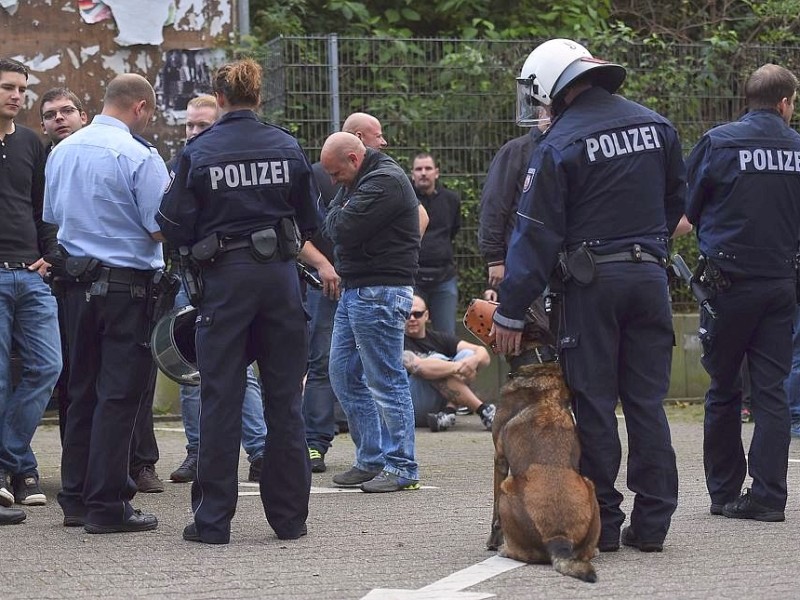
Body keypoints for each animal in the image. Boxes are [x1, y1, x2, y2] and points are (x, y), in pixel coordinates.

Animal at [462, 302, 600, 584]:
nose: (471, 303)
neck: (537, 360)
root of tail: (559, 539)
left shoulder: (499, 459)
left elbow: (494, 515)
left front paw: (492, 541)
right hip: (590, 487)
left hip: (508, 487)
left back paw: (505, 550)